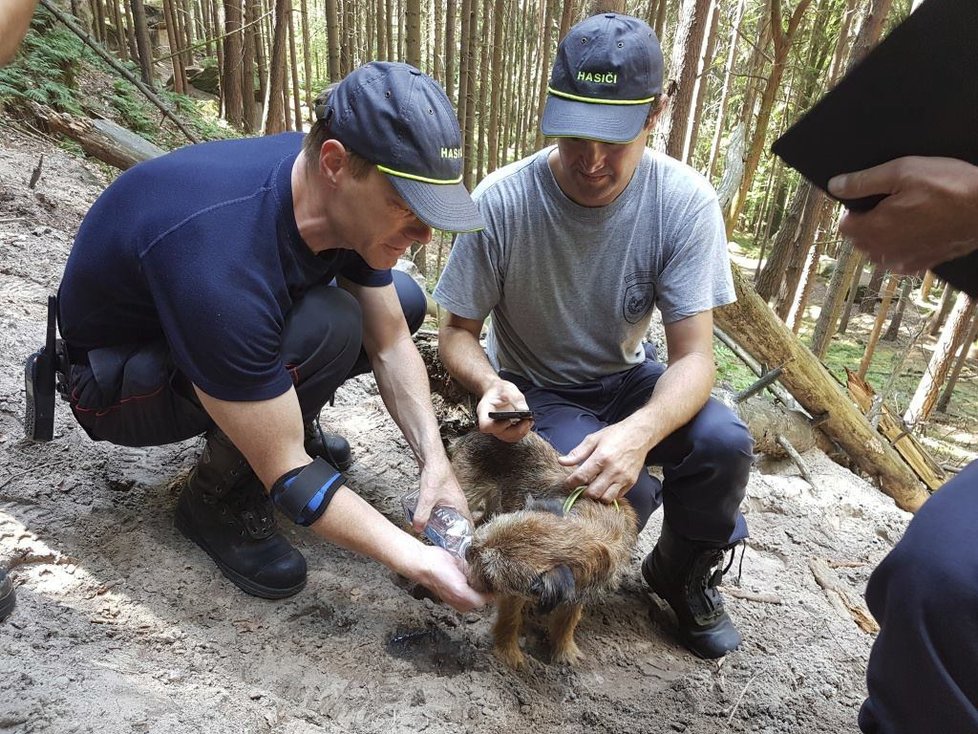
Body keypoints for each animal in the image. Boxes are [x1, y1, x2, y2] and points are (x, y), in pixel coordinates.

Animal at [448, 434, 636, 668]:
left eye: (488, 573)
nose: (468, 550)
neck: (596, 530)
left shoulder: (581, 588)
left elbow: (569, 619)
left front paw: (565, 650)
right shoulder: (515, 593)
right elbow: (511, 618)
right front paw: (508, 653)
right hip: (466, 491)